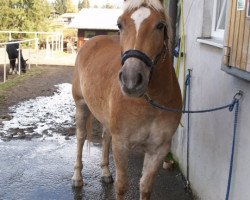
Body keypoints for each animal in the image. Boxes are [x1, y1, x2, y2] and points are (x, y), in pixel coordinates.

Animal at [72, 0, 182, 199]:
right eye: (119, 24)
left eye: (160, 25)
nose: (131, 80)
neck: (148, 103)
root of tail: (91, 41)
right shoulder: (121, 144)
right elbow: (122, 186)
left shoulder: (159, 149)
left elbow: (145, 187)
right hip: (81, 106)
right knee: (81, 137)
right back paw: (77, 177)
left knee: (105, 136)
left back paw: (106, 172)